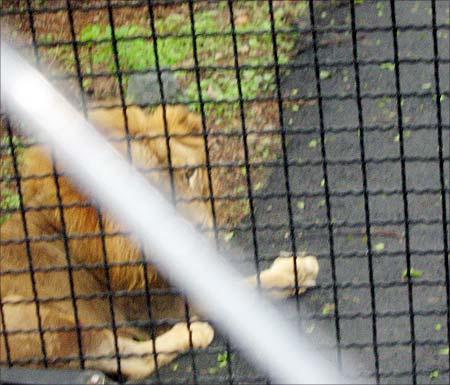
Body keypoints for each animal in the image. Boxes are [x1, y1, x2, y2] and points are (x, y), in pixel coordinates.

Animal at [0, 104, 320, 378]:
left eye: (189, 173)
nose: (200, 231)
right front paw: (293, 272)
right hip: (36, 317)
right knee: (130, 359)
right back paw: (191, 333)